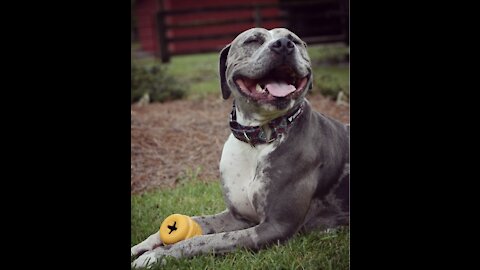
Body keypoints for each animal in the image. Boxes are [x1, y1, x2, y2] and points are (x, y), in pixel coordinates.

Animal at [131, 28, 348, 268]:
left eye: (295, 40)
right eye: (253, 40)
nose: (284, 44)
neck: (258, 139)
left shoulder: (274, 227)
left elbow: (204, 240)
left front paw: (159, 255)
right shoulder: (238, 217)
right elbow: (197, 221)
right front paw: (144, 245)